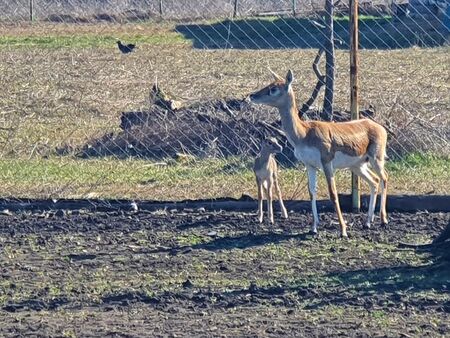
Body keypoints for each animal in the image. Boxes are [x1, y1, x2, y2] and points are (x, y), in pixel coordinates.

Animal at [248, 69, 388, 238]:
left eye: (274, 89)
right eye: (269, 84)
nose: (252, 95)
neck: (304, 134)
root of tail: (378, 126)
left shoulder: (326, 162)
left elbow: (333, 193)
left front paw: (343, 230)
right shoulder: (310, 165)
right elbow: (312, 192)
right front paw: (313, 227)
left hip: (376, 159)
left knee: (384, 178)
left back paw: (383, 220)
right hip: (357, 165)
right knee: (374, 181)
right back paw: (367, 222)